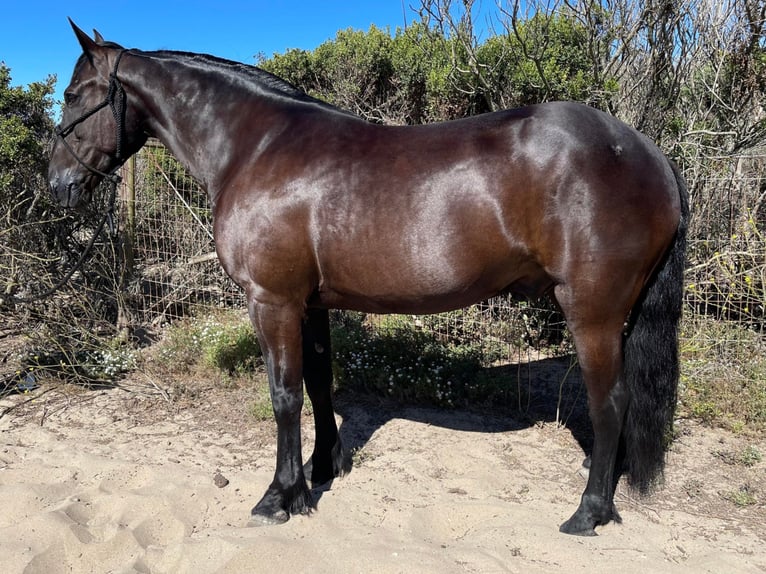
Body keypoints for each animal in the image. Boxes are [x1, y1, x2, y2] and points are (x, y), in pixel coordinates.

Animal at [51, 21, 692, 536]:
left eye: (73, 95)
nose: (57, 185)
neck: (255, 146)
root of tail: (648, 153)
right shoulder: (309, 303)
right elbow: (317, 385)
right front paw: (322, 470)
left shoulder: (272, 301)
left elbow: (284, 394)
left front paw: (279, 497)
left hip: (593, 312)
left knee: (610, 401)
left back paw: (588, 512)